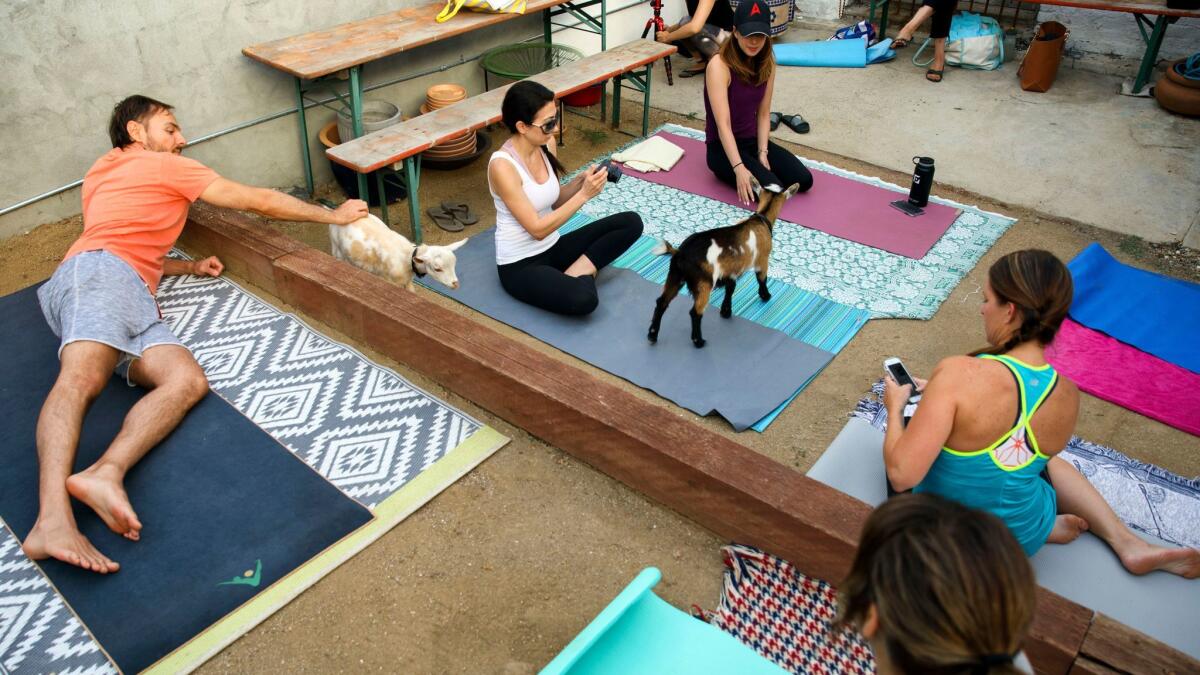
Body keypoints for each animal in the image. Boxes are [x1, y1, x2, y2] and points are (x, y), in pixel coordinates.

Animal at [648, 178, 796, 345]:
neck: (761, 219)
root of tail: (681, 254)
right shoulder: (762, 260)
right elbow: (761, 279)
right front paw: (766, 296)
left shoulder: (730, 270)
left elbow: (730, 288)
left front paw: (726, 311)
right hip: (704, 283)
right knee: (695, 312)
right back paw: (698, 341)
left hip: (675, 276)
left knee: (662, 302)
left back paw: (652, 335)